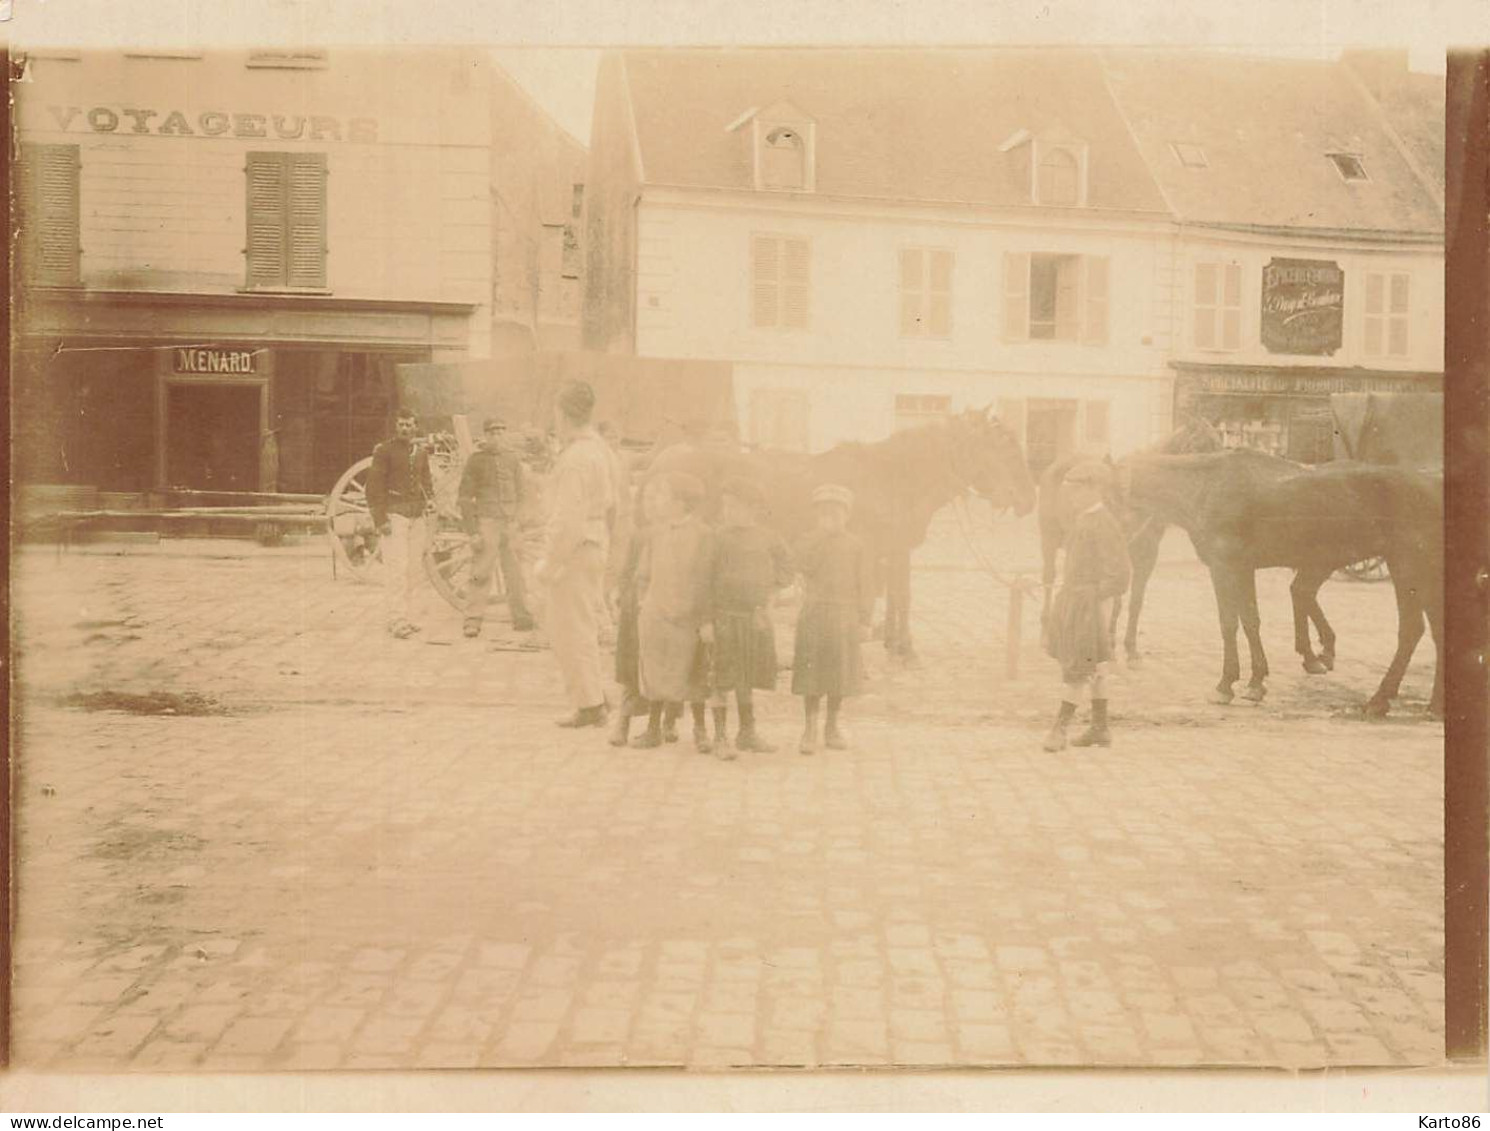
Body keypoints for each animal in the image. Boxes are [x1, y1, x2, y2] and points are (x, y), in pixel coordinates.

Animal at [640, 408, 1037, 664]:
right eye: (1002, 447)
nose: (1027, 499)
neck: (894, 478)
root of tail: (661, 460)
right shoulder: (879, 551)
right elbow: (886, 597)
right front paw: (891, 647)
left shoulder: (896, 551)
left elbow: (898, 597)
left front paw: (897, 645)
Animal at [1037, 417, 1221, 664]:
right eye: (1198, 449)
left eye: (1219, 446)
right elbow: (1118, 598)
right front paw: (1111, 642)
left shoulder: (1147, 555)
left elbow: (1135, 601)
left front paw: (1129, 647)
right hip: (1048, 540)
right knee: (1049, 579)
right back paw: (1047, 630)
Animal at [1120, 450, 1436, 715]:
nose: (1132, 548)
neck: (1208, 487)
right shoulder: (1243, 568)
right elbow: (1250, 621)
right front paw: (1256, 680)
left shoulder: (1224, 568)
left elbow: (1229, 623)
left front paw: (1226, 683)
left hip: (1405, 567)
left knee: (1411, 629)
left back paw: (1380, 697)